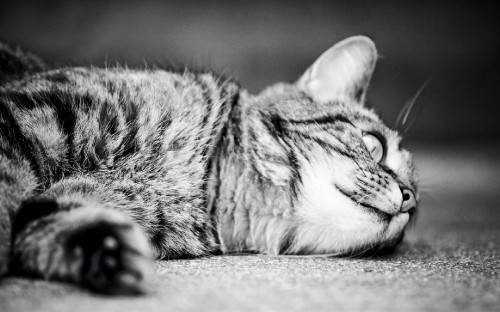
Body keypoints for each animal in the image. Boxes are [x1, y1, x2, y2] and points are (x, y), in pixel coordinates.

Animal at [0, 36, 418, 294]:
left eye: (416, 202)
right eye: (375, 145)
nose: (410, 200)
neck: (202, 187)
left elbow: (45, 219)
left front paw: (107, 252)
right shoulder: (35, 113)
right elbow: (7, 187)